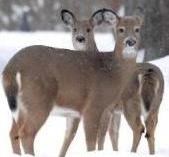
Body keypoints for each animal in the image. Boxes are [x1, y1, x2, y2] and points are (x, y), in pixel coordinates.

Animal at [2, 8, 143, 157]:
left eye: (137, 29)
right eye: (121, 29)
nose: (130, 41)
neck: (112, 71)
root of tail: (11, 68)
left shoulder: (92, 111)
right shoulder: (93, 106)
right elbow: (91, 142)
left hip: (21, 107)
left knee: (13, 133)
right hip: (38, 100)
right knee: (26, 133)